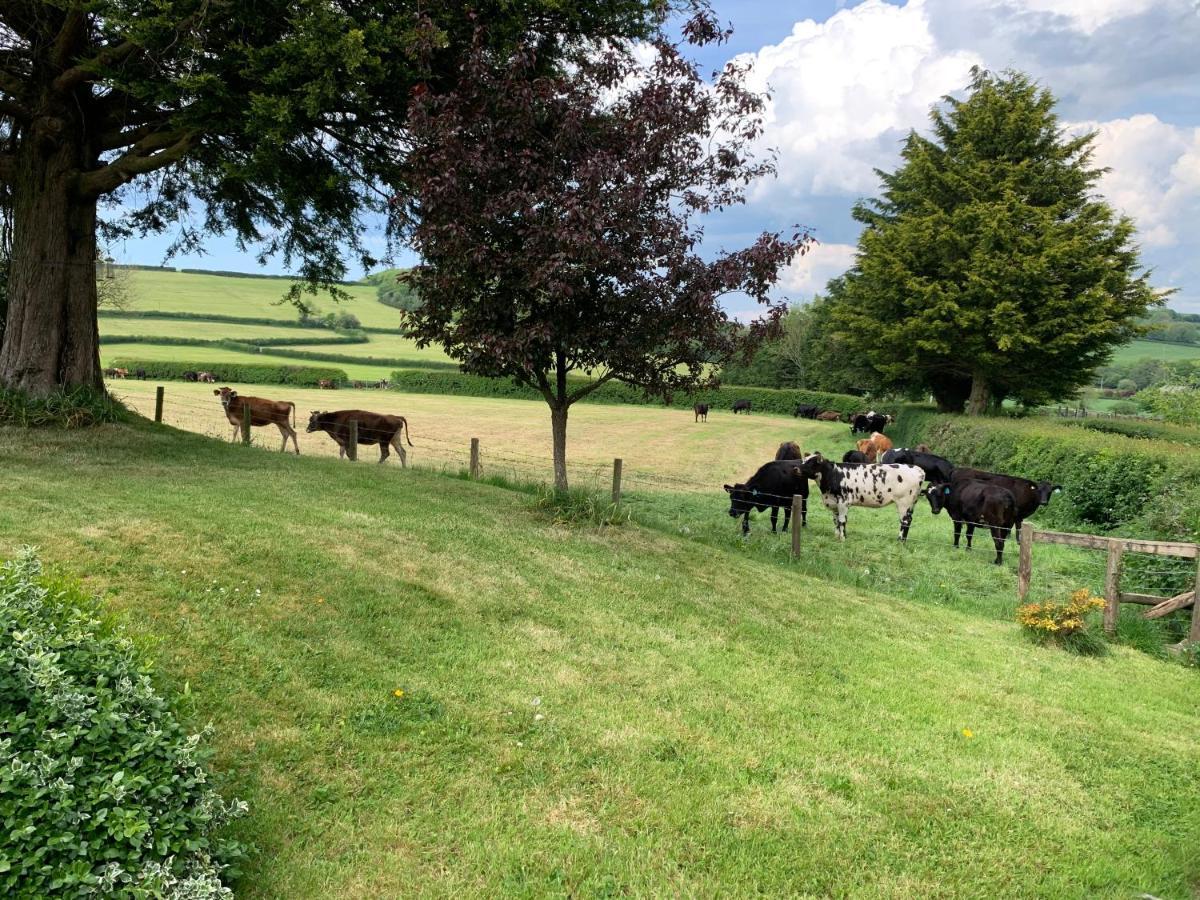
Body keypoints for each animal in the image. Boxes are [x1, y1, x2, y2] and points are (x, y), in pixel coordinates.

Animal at [796, 451, 926, 542]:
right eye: (803, 460)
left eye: (810, 463)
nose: (796, 468)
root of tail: (917, 469)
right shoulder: (834, 503)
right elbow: (836, 521)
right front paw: (836, 536)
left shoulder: (843, 502)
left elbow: (842, 521)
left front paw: (843, 538)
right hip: (911, 503)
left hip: (904, 502)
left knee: (905, 520)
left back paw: (900, 541)